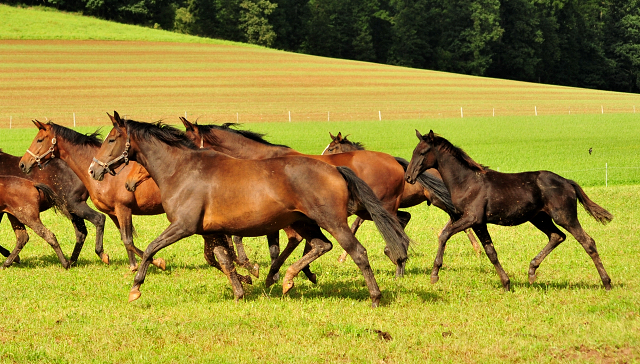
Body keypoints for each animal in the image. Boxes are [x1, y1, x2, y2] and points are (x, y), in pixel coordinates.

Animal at [86, 111, 410, 308]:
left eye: (112, 139)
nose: (93, 170)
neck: (183, 169)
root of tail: (335, 170)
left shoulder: (183, 226)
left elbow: (152, 248)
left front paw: (136, 287)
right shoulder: (211, 231)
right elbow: (224, 260)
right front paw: (241, 290)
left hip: (332, 220)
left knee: (357, 252)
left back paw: (375, 296)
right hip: (305, 222)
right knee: (320, 245)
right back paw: (288, 279)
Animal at [322, 132, 482, 258]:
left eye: (330, 148)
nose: (321, 159)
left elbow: (355, 225)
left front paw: (342, 257)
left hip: (438, 200)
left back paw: (475, 247)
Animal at [404, 129, 616, 292]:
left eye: (422, 152)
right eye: (414, 151)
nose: (408, 177)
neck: (467, 181)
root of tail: (567, 182)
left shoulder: (471, 218)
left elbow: (444, 235)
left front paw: (434, 274)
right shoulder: (479, 223)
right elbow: (491, 252)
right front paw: (506, 283)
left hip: (565, 217)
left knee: (588, 242)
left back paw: (607, 283)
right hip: (540, 218)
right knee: (557, 236)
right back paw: (531, 271)